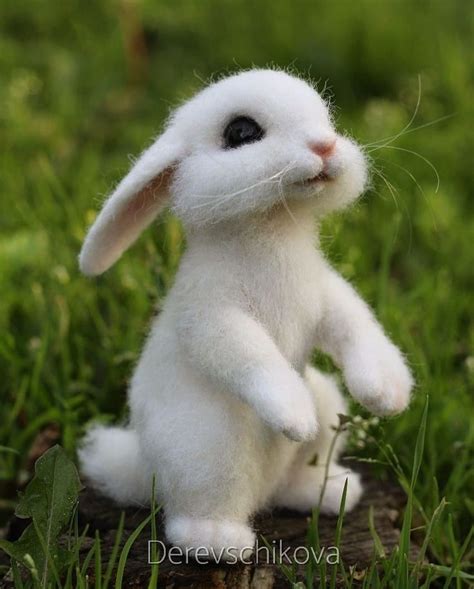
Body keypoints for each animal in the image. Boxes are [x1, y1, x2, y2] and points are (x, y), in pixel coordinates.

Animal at [79, 69, 412, 560]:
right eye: (241, 132)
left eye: (326, 116)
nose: (325, 146)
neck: (274, 228)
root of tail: (143, 468)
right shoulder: (211, 314)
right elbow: (246, 352)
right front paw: (294, 416)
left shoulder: (326, 294)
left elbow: (356, 325)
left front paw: (387, 394)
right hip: (209, 448)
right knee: (201, 506)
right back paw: (219, 541)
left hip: (326, 405)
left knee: (293, 479)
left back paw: (332, 492)